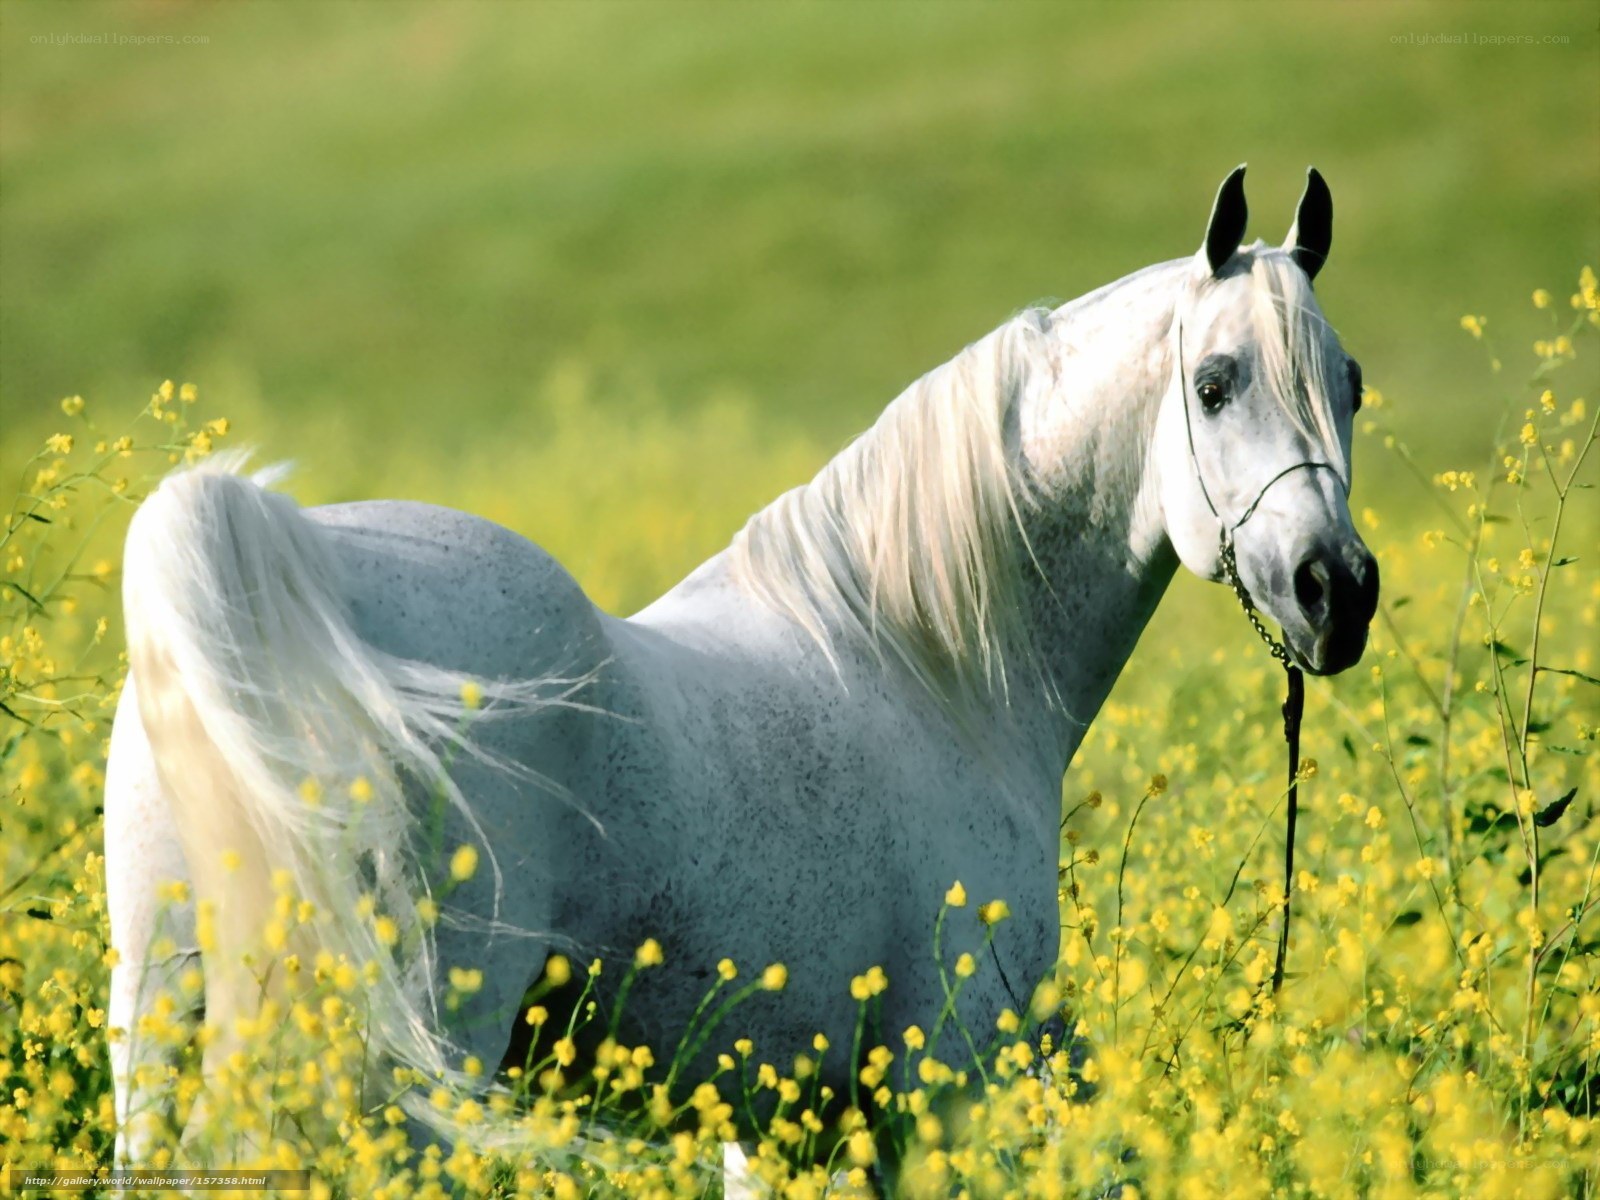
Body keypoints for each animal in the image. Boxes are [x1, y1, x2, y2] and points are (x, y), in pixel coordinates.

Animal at [105, 164, 1377, 1186]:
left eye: (1351, 384)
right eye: (1213, 382)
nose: (1338, 590)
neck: (927, 666)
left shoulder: (775, 1131)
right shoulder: (943, 1089)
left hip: (161, 1028)